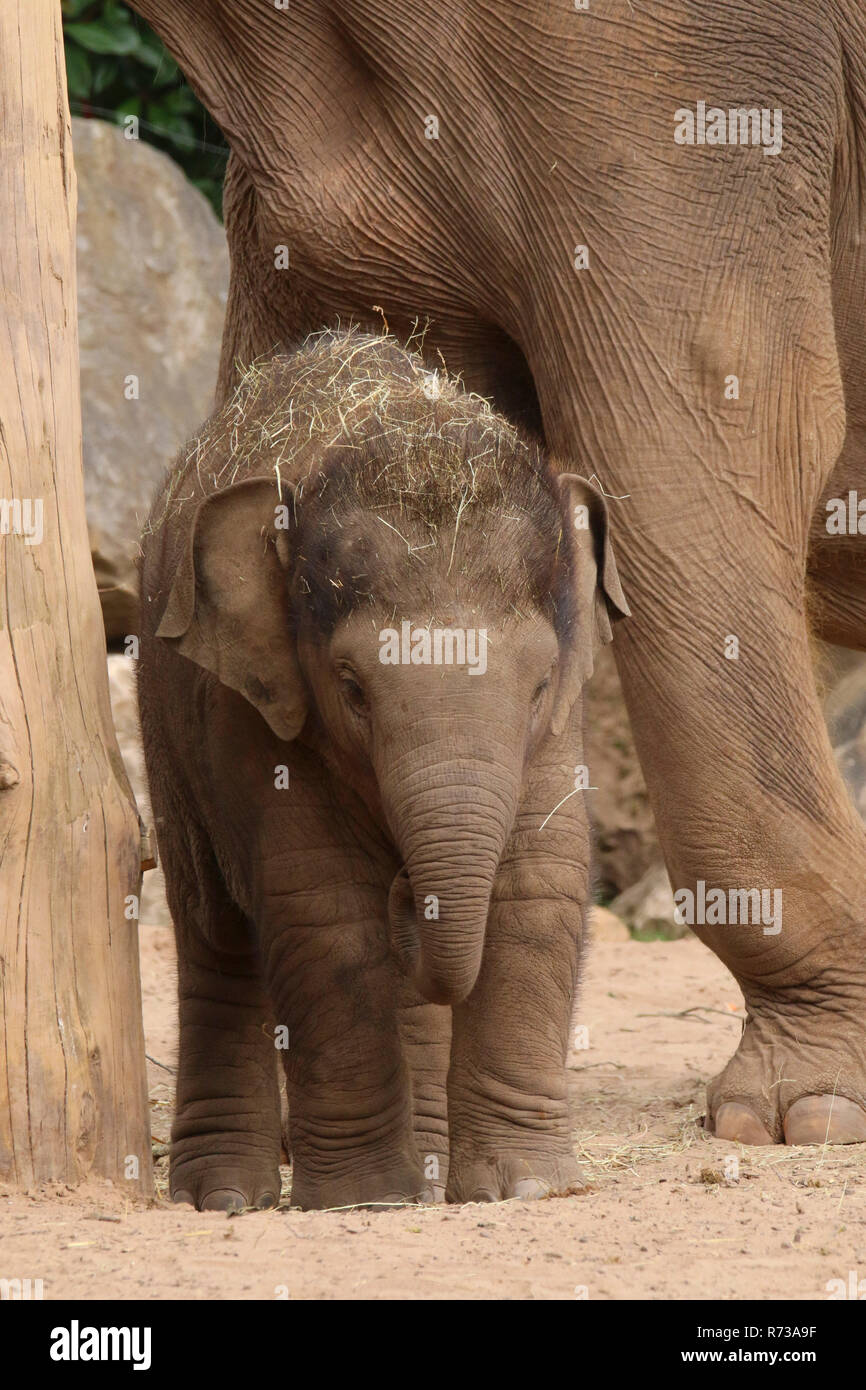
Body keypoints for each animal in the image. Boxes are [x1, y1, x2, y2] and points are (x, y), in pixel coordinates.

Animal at [137, 329, 630, 1209]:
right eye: (352, 689)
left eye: (540, 683)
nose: (407, 884)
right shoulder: (256, 710)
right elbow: (323, 907)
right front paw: (364, 1197)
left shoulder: (558, 729)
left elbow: (538, 886)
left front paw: (525, 1187)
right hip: (163, 723)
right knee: (212, 928)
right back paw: (224, 1196)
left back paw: (428, 1171)